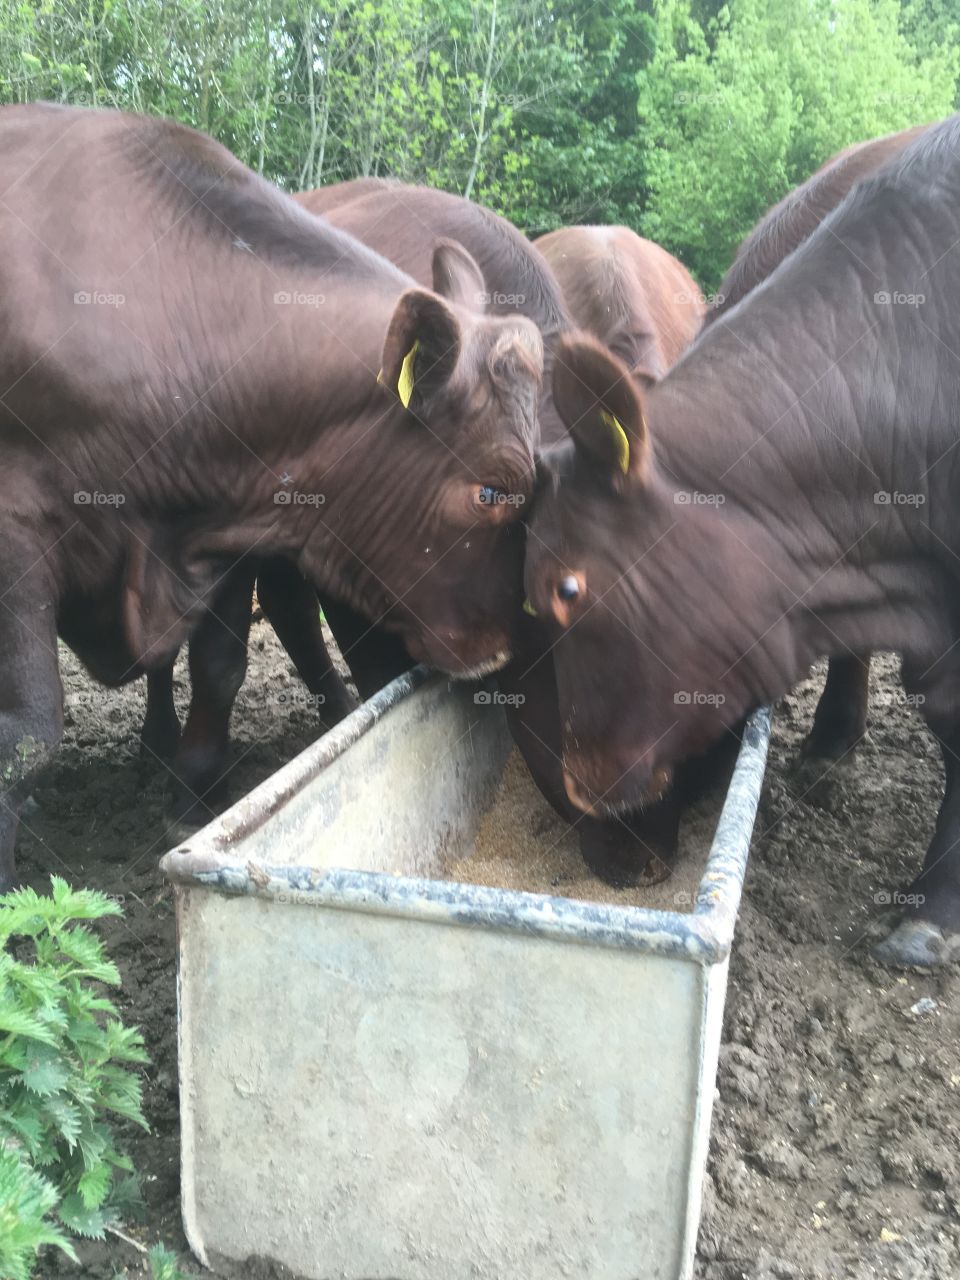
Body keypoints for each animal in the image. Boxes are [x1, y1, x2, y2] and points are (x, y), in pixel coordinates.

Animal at [0, 103, 544, 888]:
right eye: (493, 489)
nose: (501, 649)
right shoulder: (18, 536)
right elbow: (28, 733)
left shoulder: (224, 524)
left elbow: (219, 669)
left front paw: (196, 797)